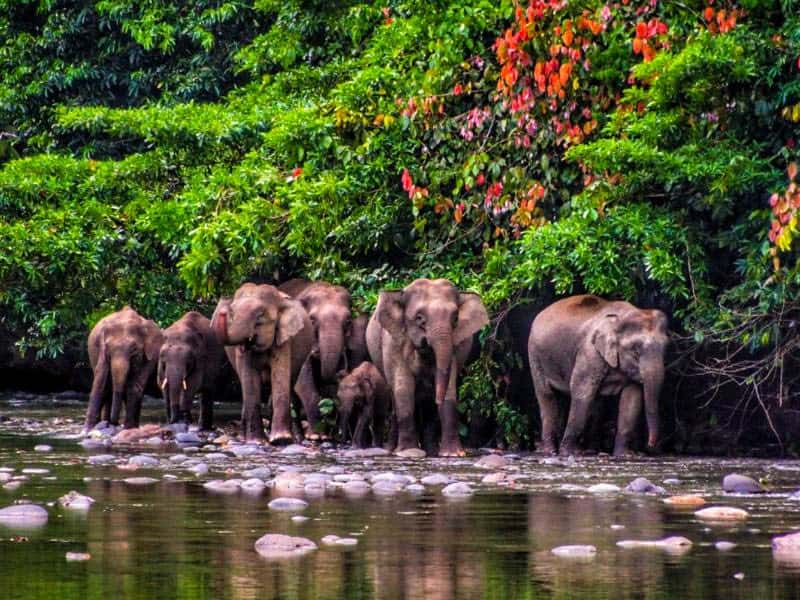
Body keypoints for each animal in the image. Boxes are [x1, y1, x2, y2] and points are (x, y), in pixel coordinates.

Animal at [211, 282, 314, 440]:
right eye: (232, 312)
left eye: (260, 316)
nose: (223, 308)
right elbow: (249, 378)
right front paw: (256, 441)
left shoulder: (284, 337)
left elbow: (280, 375)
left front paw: (280, 440)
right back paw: (244, 436)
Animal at [368, 278, 488, 458]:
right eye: (419, 318)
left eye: (455, 318)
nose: (437, 399)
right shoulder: (393, 343)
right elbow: (403, 389)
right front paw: (408, 452)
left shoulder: (454, 348)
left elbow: (449, 389)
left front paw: (453, 454)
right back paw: (392, 450)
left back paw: (431, 452)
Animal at [532, 294, 668, 454]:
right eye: (635, 349)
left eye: (666, 348)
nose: (650, 445)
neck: (619, 318)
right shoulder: (589, 351)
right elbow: (582, 391)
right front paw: (571, 452)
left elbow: (632, 398)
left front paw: (626, 455)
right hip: (535, 356)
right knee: (547, 395)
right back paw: (551, 451)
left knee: (593, 403)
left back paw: (591, 451)